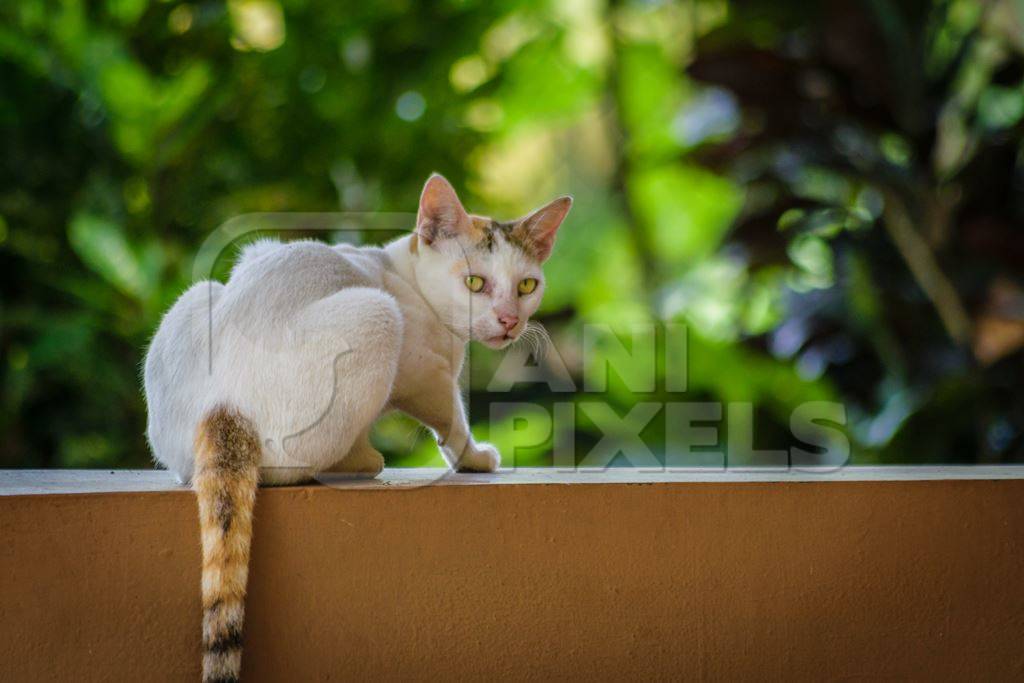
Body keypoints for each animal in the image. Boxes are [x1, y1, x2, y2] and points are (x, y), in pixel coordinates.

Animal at [141, 175, 573, 683]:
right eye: (475, 283)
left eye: (527, 285)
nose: (509, 320)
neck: (406, 274)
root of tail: (222, 403)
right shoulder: (425, 373)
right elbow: (452, 418)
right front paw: (475, 457)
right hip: (377, 314)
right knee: (293, 465)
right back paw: (361, 460)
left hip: (200, 294)